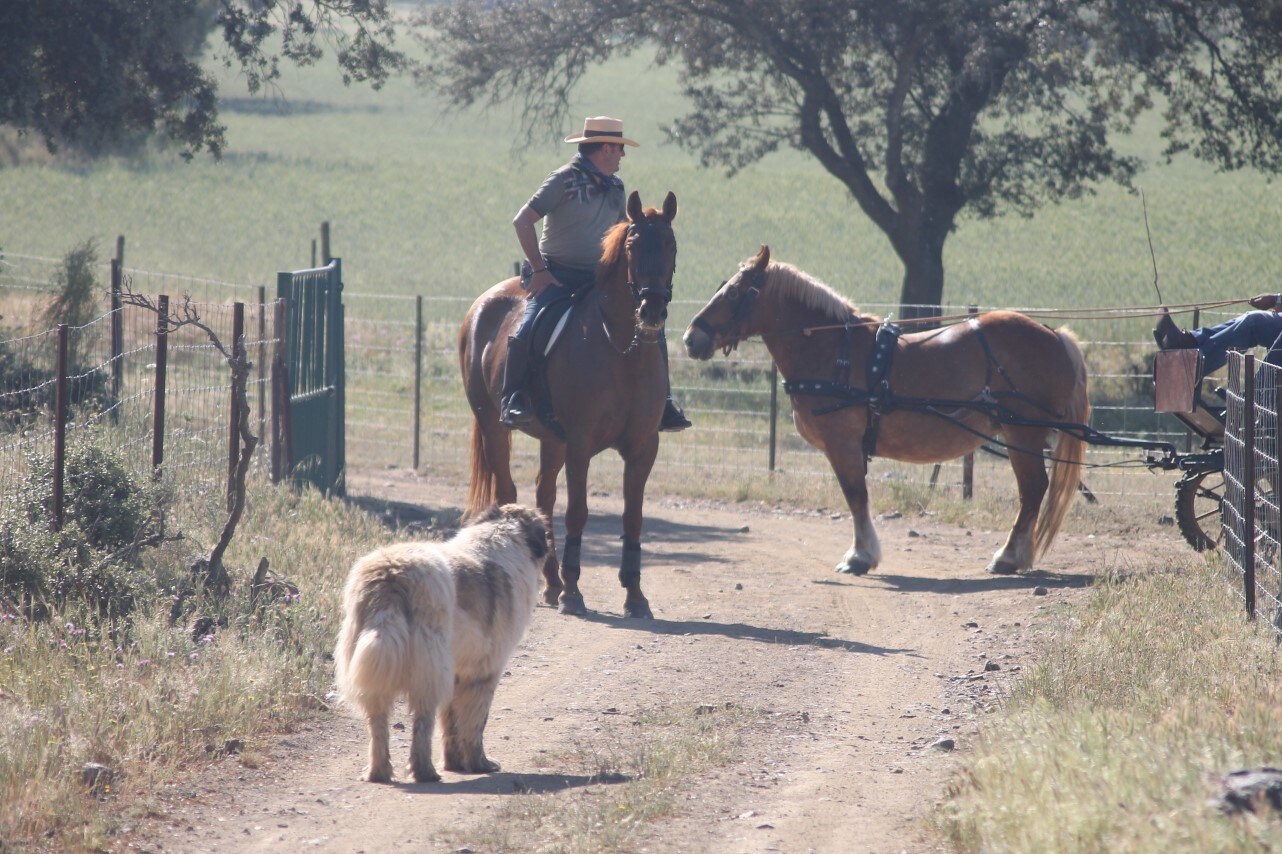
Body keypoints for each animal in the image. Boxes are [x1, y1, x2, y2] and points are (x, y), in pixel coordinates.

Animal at [461, 189, 682, 615]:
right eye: (632, 246)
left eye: (671, 245)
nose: (652, 309)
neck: (620, 350)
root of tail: (481, 304)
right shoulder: (580, 443)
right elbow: (578, 512)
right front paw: (574, 592)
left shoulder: (644, 447)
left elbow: (633, 518)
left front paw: (635, 595)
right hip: (493, 423)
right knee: (509, 491)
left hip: (552, 440)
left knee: (543, 497)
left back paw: (550, 583)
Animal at [687, 244, 1087, 571]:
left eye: (734, 291)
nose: (692, 338)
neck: (833, 350)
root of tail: (1054, 335)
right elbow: (856, 497)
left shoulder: (843, 444)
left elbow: (855, 496)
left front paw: (860, 556)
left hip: (1023, 433)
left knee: (1032, 489)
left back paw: (1008, 556)